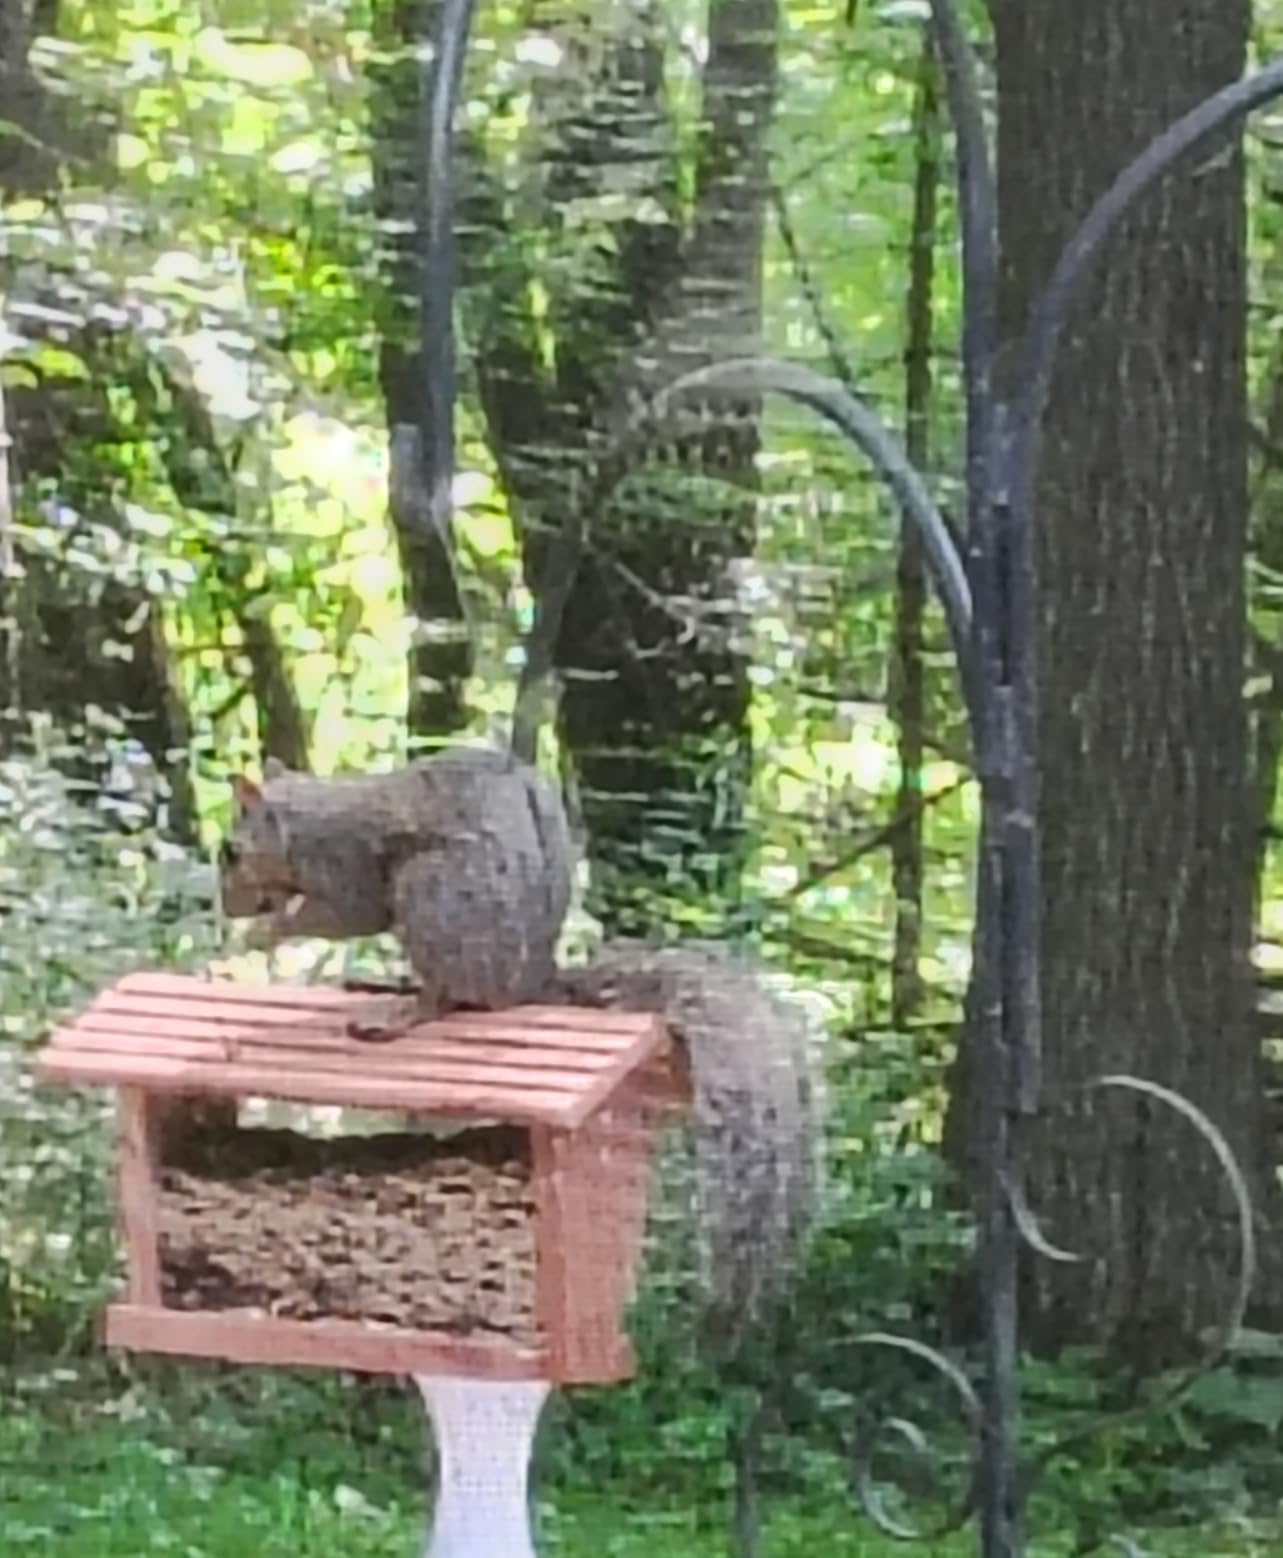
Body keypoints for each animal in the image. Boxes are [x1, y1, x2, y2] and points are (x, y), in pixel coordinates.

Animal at [219, 742, 823, 1343]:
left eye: (231, 852)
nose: (228, 908)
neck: (303, 822)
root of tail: (531, 984)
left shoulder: (343, 866)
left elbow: (344, 916)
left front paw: (264, 932)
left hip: (433, 893)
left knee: (450, 996)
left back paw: (399, 1011)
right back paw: (389, 985)